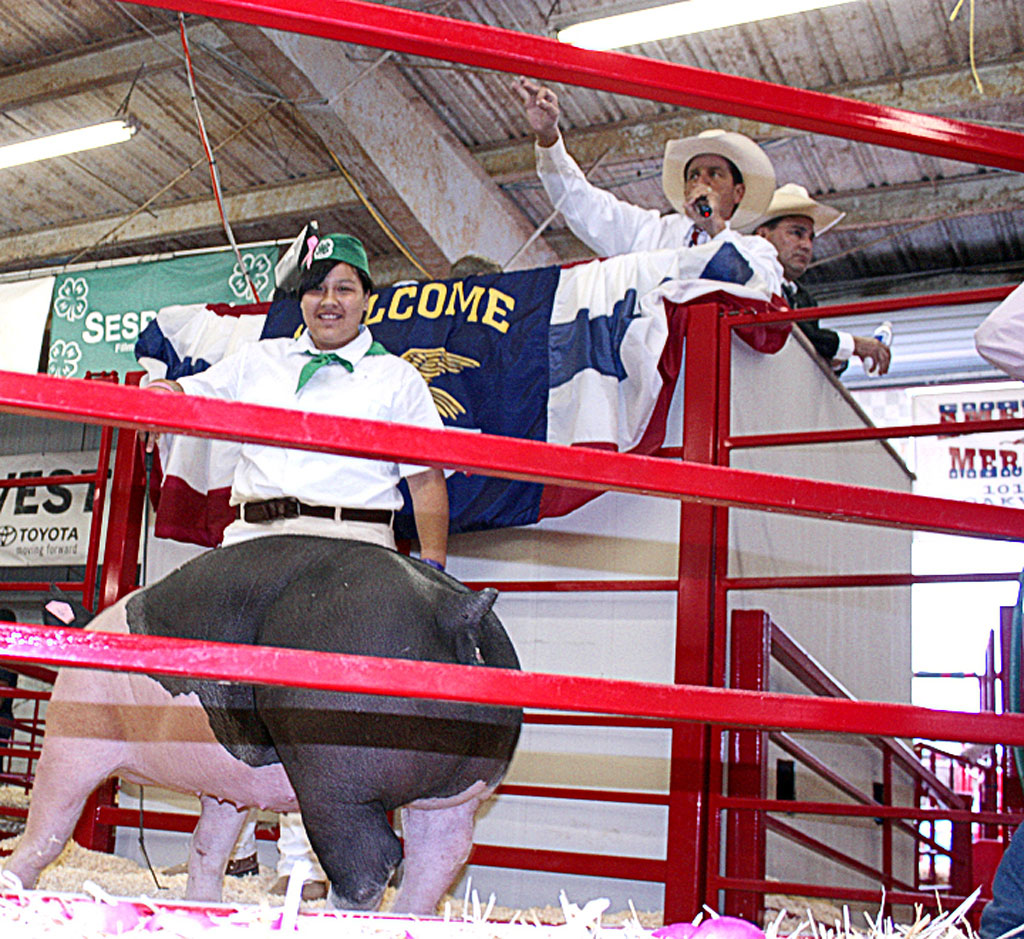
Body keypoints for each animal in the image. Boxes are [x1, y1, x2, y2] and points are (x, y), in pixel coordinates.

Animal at [2, 536, 520, 913]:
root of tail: (454, 610)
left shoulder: (75, 733)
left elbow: (49, 826)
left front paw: (13, 882)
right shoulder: (225, 786)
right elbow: (208, 845)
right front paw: (202, 905)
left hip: (334, 778)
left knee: (368, 861)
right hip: (462, 790)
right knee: (440, 856)